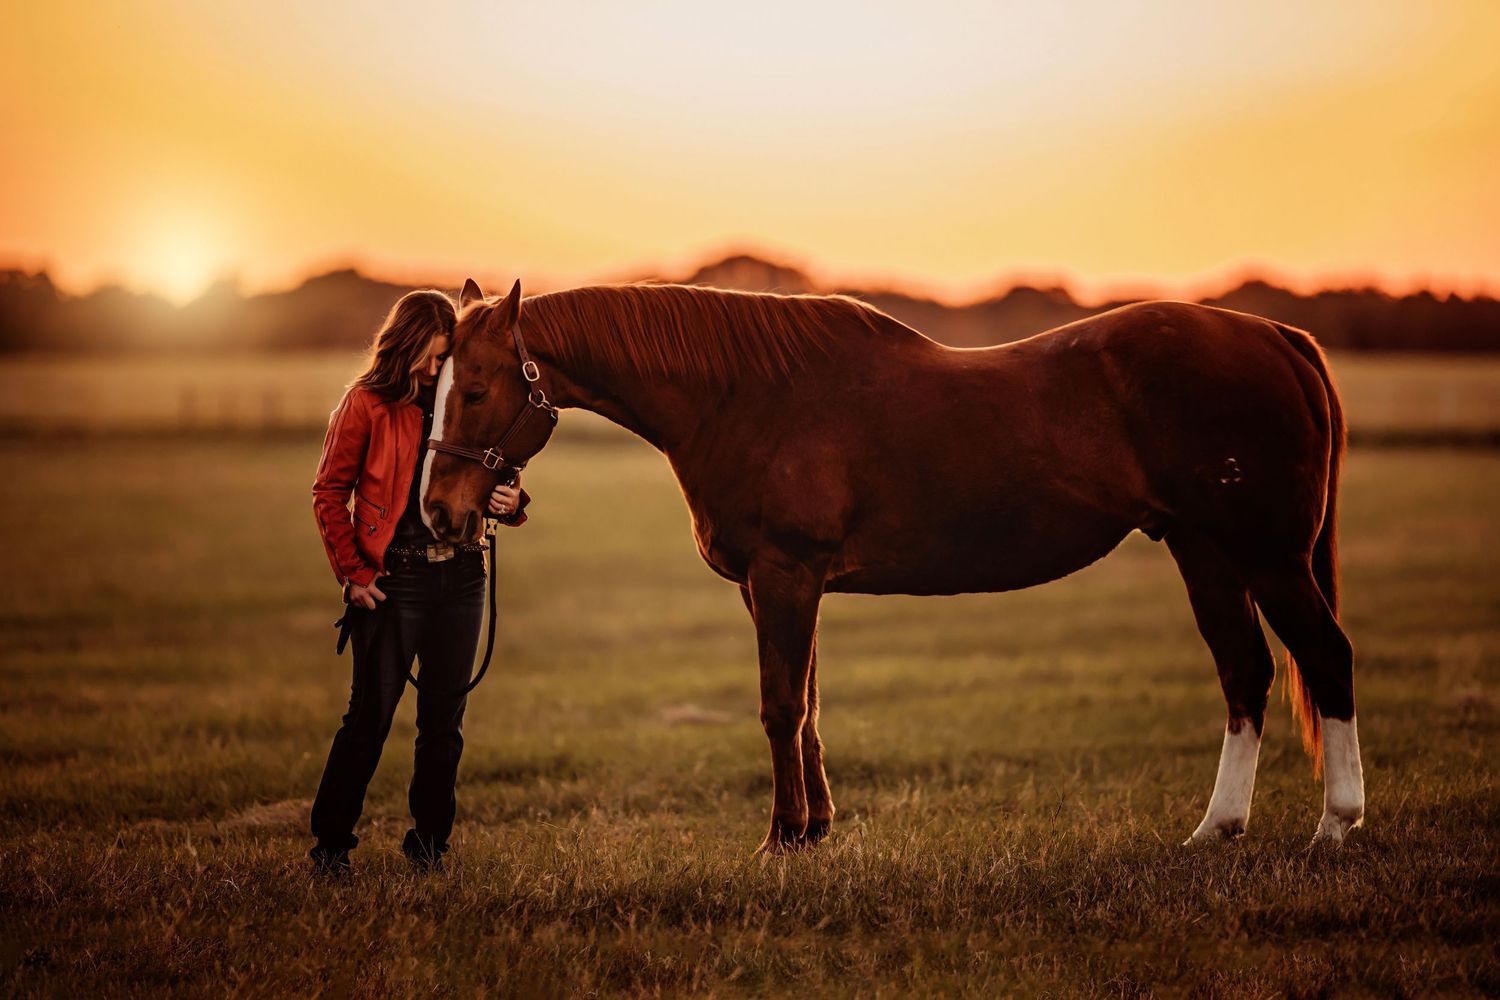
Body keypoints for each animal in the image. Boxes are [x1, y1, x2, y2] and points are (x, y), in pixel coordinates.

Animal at [420, 277, 1364, 853]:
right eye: (433, 390)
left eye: (476, 390)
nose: (439, 512)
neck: (745, 397)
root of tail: (1276, 336)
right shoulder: (776, 587)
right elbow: (806, 705)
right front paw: (814, 831)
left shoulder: (786, 574)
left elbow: (778, 706)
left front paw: (779, 840)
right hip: (1207, 552)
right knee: (1245, 675)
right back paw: (1216, 830)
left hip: (1269, 555)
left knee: (1325, 657)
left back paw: (1334, 827)